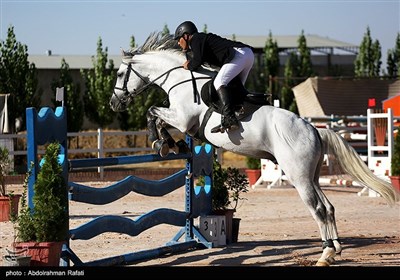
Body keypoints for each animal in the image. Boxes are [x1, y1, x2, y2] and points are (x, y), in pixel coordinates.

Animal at [108, 31, 398, 266]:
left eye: (120, 74)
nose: (113, 103)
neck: (180, 79)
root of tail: (314, 130)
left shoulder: (182, 119)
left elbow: (152, 112)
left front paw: (160, 141)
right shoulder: (181, 120)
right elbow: (158, 117)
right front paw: (170, 143)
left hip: (299, 177)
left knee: (317, 209)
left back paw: (325, 254)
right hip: (312, 176)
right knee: (328, 207)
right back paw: (335, 250)